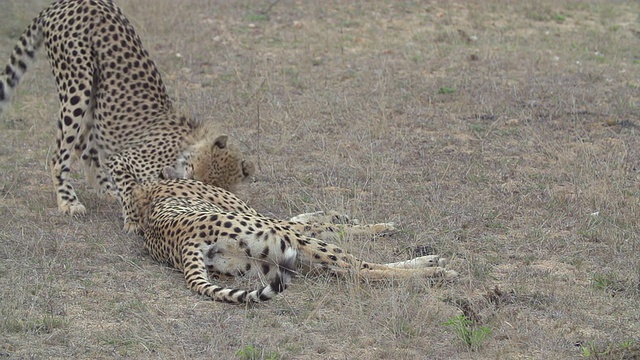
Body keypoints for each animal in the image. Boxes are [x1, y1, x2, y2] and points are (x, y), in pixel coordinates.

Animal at [0, 0, 254, 233]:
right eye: (193, 174)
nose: (179, 176)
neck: (187, 144)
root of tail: (62, 3)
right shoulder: (122, 159)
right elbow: (130, 188)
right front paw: (132, 221)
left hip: (95, 94)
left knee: (83, 146)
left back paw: (106, 190)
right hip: (77, 84)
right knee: (59, 154)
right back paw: (68, 201)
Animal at [132, 177, 458, 304]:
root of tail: (185, 240)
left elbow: (312, 217)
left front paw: (343, 216)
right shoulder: (281, 224)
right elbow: (322, 224)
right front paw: (377, 225)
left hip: (267, 261)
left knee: (345, 269)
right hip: (293, 243)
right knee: (359, 268)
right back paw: (434, 268)